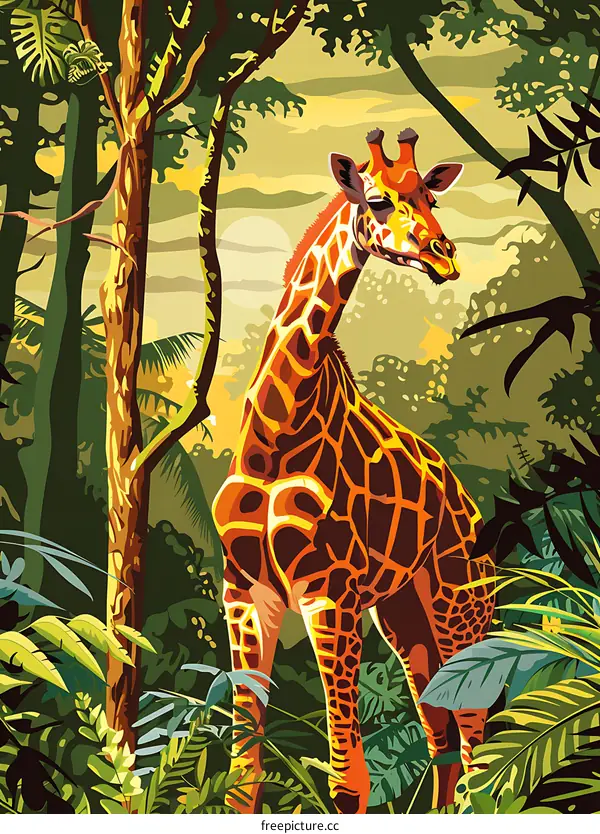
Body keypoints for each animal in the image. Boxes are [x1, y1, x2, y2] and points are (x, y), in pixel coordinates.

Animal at [213, 127, 495, 814]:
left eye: (430, 197)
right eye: (377, 199)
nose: (445, 256)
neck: (273, 436)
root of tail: (471, 508)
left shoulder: (329, 591)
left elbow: (347, 782)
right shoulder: (244, 590)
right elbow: (242, 774)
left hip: (459, 602)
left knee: (475, 738)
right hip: (404, 614)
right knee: (442, 736)